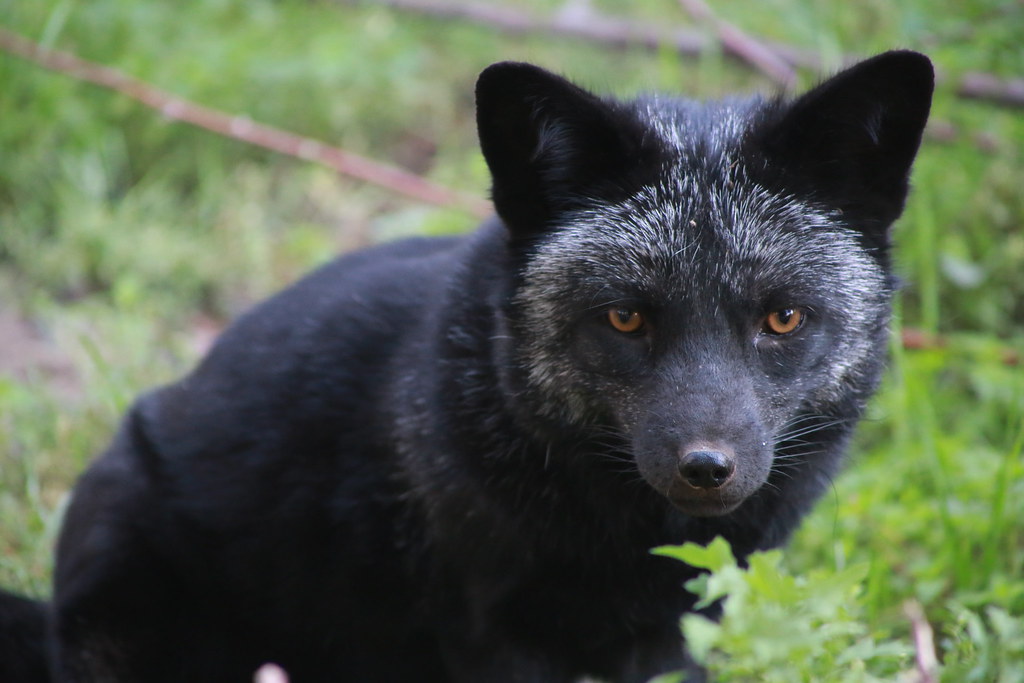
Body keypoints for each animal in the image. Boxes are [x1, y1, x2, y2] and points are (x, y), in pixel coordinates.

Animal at [0, 51, 933, 682]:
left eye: (782, 318)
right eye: (625, 316)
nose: (707, 467)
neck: (621, 538)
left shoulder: (681, 632)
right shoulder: (496, 632)